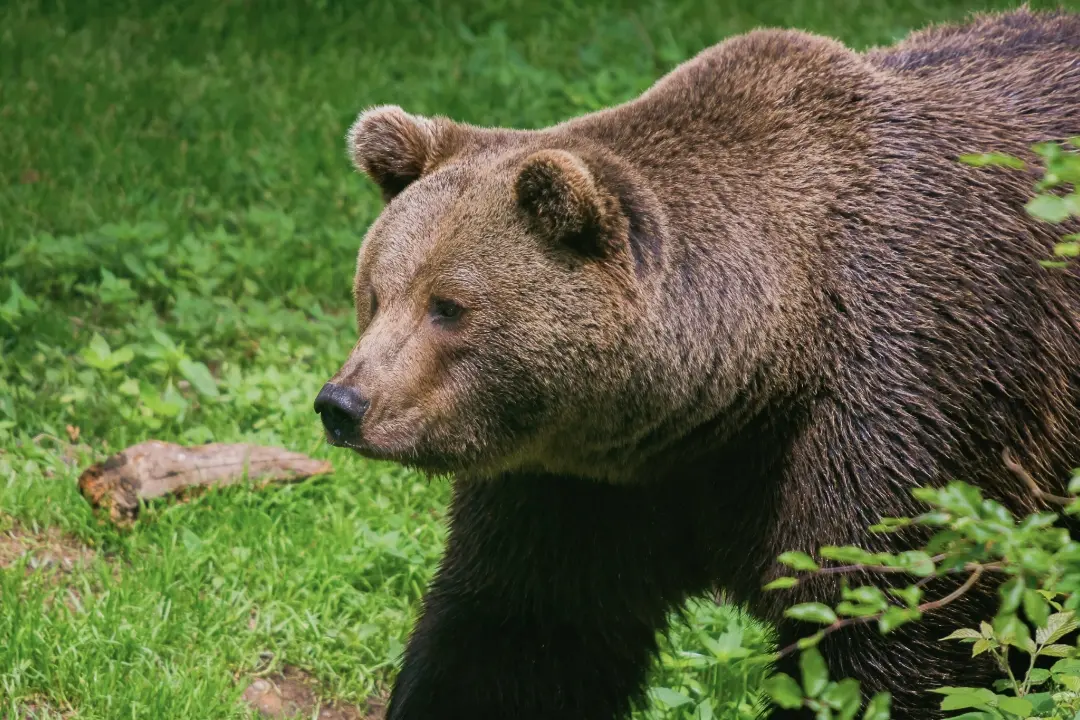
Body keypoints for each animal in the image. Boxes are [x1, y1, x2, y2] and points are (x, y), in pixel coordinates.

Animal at [315, 7, 1080, 720]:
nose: (343, 404)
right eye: (376, 292)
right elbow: (518, 633)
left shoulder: (904, 406)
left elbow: (879, 633)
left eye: (449, 307)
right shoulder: (579, 481)